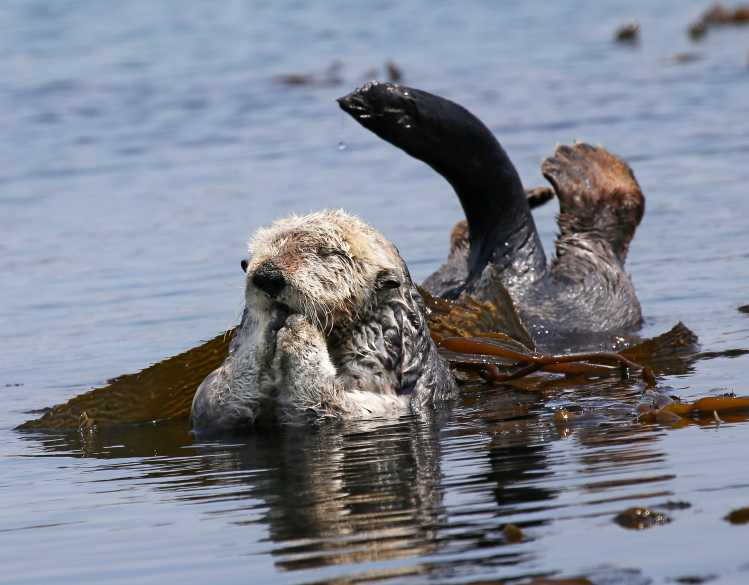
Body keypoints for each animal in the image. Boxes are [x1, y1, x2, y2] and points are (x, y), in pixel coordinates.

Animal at [191, 210, 457, 432]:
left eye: (330, 253)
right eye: (256, 252)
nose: (267, 275)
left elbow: (334, 405)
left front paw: (299, 328)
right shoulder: (212, 413)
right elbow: (211, 402)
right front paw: (262, 321)